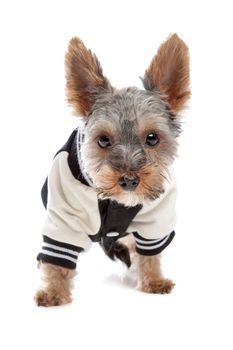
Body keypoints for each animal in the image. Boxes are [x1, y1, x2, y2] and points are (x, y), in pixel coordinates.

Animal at [35, 33, 191, 306]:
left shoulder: (156, 218)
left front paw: (153, 280)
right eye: (104, 140)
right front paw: (54, 292)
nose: (128, 180)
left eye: (152, 138)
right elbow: (58, 260)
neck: (116, 201)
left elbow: (150, 253)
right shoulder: (63, 216)